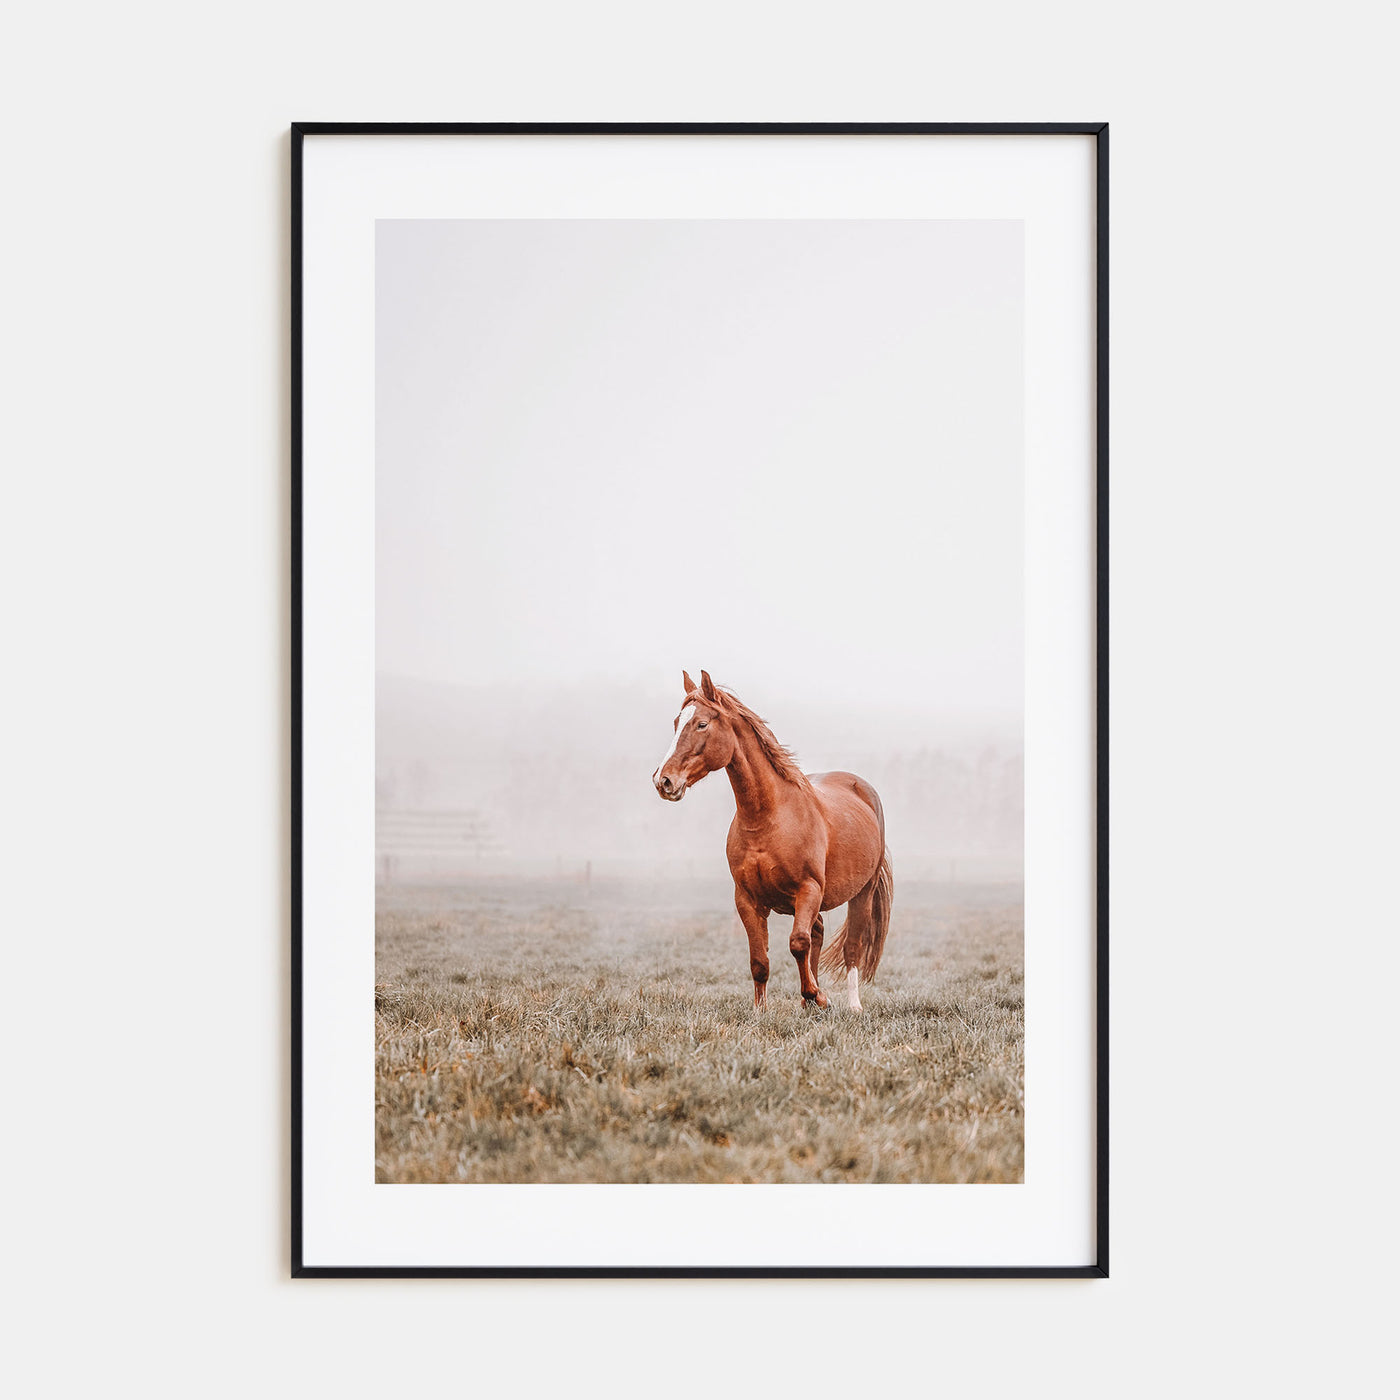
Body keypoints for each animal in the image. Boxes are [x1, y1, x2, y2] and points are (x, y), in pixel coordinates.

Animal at [652, 671, 893, 1013]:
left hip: (862, 892)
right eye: (676, 722)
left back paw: (851, 1005)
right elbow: (760, 960)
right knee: (818, 932)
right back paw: (808, 1004)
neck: (767, 819)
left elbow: (797, 943)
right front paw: (762, 1010)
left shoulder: (808, 889)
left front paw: (819, 995)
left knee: (851, 946)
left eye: (701, 724)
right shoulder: (747, 900)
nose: (664, 780)